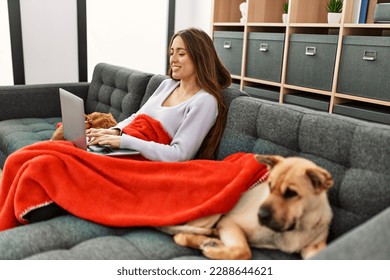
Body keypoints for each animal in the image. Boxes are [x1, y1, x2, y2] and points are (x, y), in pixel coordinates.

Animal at [160, 154, 334, 260]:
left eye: (291, 193)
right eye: (270, 186)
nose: (260, 215)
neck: (296, 228)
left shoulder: (315, 248)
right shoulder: (229, 222)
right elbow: (244, 251)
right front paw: (215, 250)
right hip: (215, 211)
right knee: (179, 235)